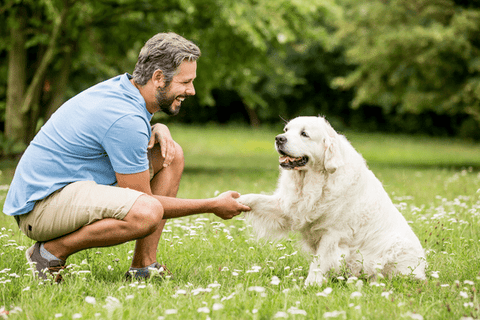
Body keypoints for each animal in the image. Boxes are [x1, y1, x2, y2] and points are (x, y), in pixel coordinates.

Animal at [238, 116, 426, 286]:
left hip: (395, 247)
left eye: (304, 134)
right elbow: (255, 198)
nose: (279, 138)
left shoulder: (333, 233)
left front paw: (310, 285)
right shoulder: (288, 208)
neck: (314, 181)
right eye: (286, 130)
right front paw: (236, 200)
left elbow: (319, 261)